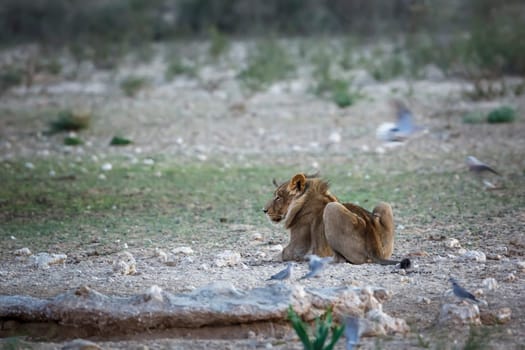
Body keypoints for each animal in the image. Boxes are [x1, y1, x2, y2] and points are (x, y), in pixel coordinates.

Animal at [264, 172, 408, 266]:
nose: (264, 210)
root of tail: (375, 250)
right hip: (384, 205)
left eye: (278, 197)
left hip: (331, 208)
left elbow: (280, 254)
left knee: (342, 259)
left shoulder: (297, 247)